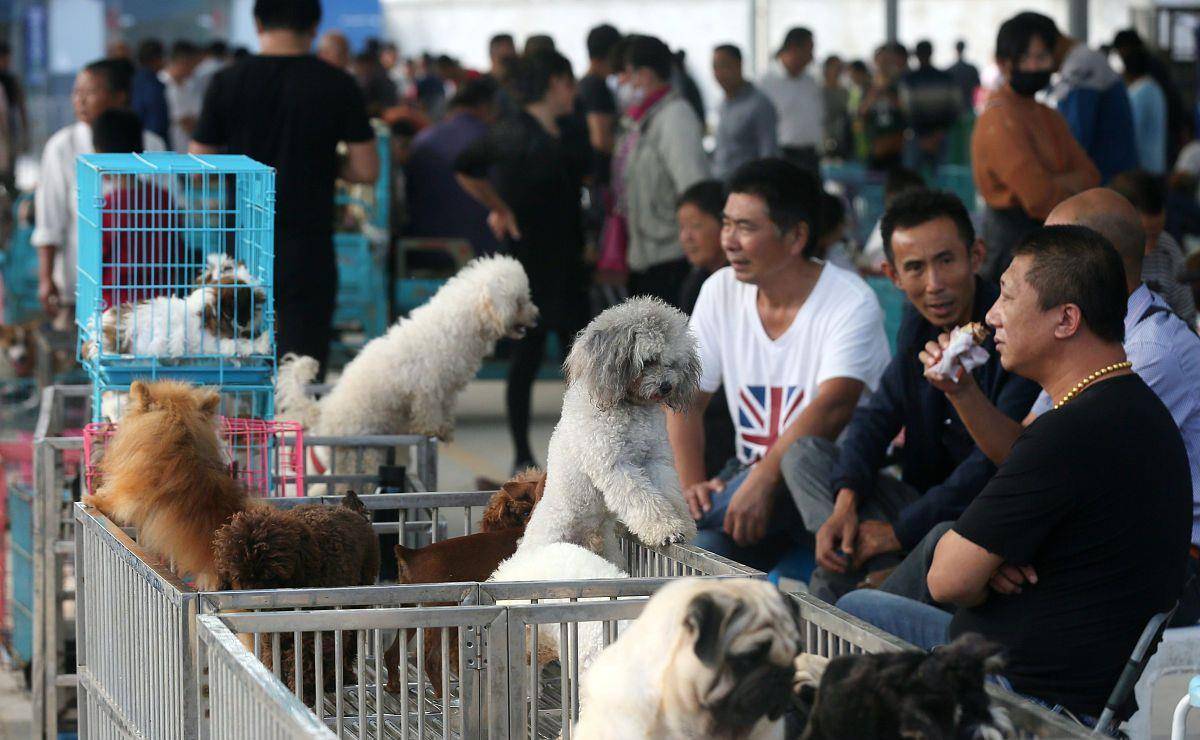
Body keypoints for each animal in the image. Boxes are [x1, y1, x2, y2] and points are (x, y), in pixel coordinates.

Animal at [276, 254, 540, 484]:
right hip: (363, 453)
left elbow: (445, 410)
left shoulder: (448, 388)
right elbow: (428, 411)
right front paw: (432, 429)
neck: (459, 325)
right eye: (519, 301)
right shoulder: (428, 386)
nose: (537, 317)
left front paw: (445, 430)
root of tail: (323, 412)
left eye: (527, 296)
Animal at [384, 467, 544, 690]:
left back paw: (394, 686)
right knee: (431, 660)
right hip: (444, 613)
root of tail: (409, 554)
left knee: (391, 653)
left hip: (410, 610)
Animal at [518, 297, 700, 563]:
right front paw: (666, 529)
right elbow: (642, 498)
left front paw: (683, 524)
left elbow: (669, 492)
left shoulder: (655, 458)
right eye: (648, 361)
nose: (667, 386)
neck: (631, 407)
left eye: (673, 362)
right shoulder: (614, 465)